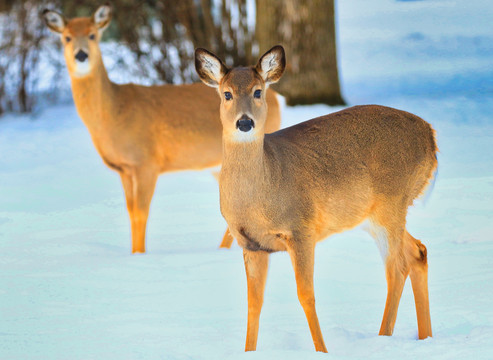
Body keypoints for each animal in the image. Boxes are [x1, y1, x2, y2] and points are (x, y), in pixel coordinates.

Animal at [41, 4, 280, 253]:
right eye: (66, 37)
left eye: (92, 35)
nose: (81, 55)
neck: (114, 111)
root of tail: (276, 97)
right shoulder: (124, 169)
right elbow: (130, 212)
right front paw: (133, 253)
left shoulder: (146, 162)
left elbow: (141, 213)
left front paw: (139, 254)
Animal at [194, 45, 436, 352]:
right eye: (227, 94)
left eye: (258, 91)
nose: (245, 122)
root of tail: (430, 135)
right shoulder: (251, 243)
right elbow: (253, 303)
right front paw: (248, 352)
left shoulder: (301, 229)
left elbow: (305, 295)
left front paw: (323, 350)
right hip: (372, 214)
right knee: (418, 251)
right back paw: (424, 337)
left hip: (391, 201)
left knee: (396, 267)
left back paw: (383, 337)